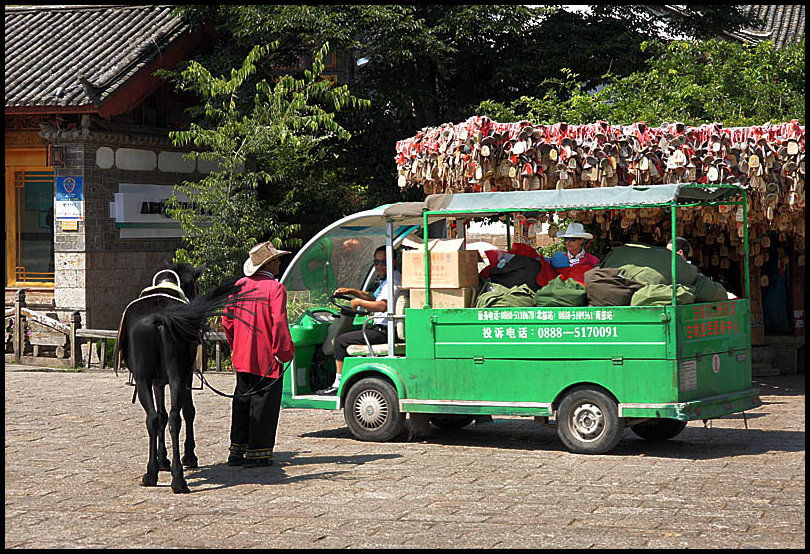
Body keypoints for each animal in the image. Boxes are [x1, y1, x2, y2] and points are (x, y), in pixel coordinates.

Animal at [112, 262, 248, 492]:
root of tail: (160, 317)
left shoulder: (166, 380)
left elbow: (174, 413)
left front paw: (171, 459)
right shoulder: (169, 380)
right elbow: (175, 413)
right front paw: (174, 459)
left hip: (153, 378)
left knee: (160, 418)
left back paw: (156, 474)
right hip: (172, 376)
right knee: (170, 418)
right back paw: (176, 478)